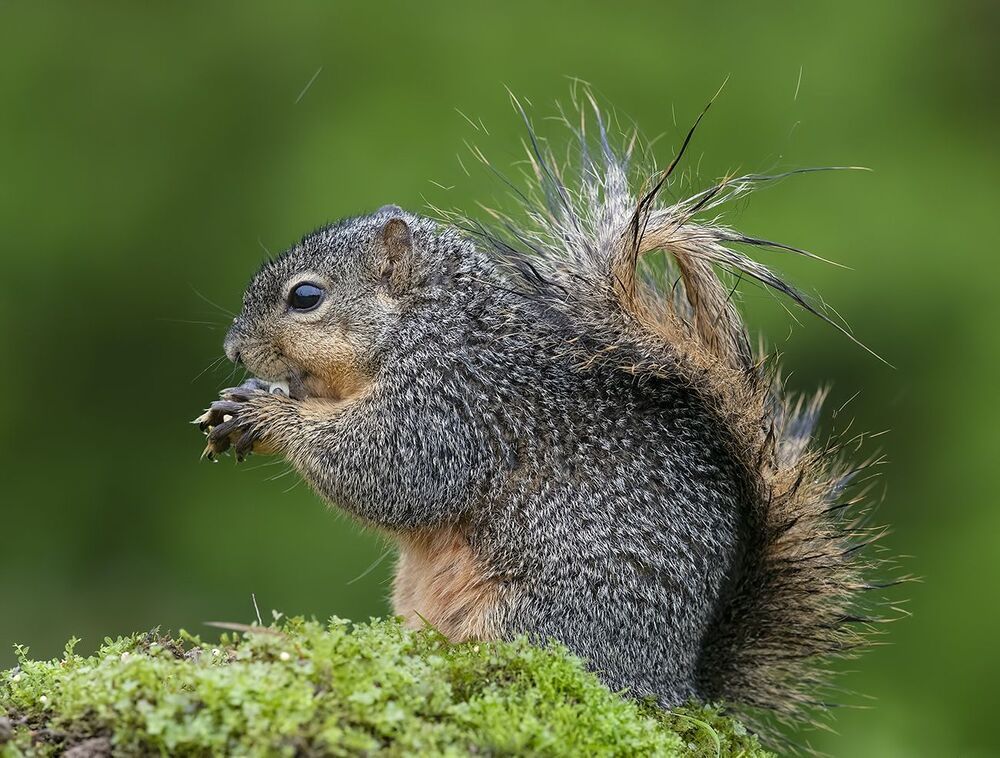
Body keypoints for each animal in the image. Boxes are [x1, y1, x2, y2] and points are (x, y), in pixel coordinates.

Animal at [195, 101, 890, 735]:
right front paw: (241, 401)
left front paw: (268, 413)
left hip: (538, 614)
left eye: (306, 297)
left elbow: (386, 470)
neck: (428, 322)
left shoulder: (454, 403)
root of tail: (676, 684)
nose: (233, 348)